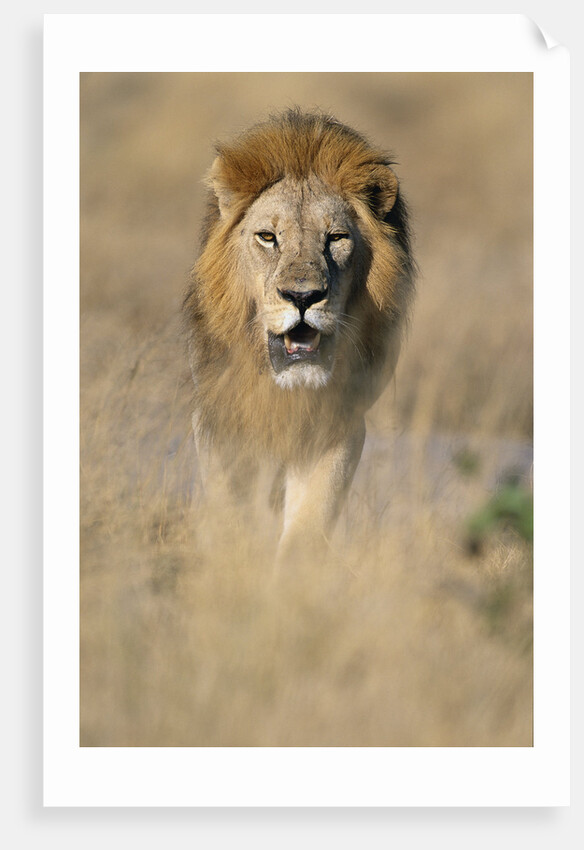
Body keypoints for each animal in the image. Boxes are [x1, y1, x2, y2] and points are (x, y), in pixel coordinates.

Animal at [183, 109, 415, 567]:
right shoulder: (220, 417)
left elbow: (308, 525)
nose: (303, 296)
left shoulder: (338, 424)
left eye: (337, 238)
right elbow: (230, 511)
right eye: (268, 237)